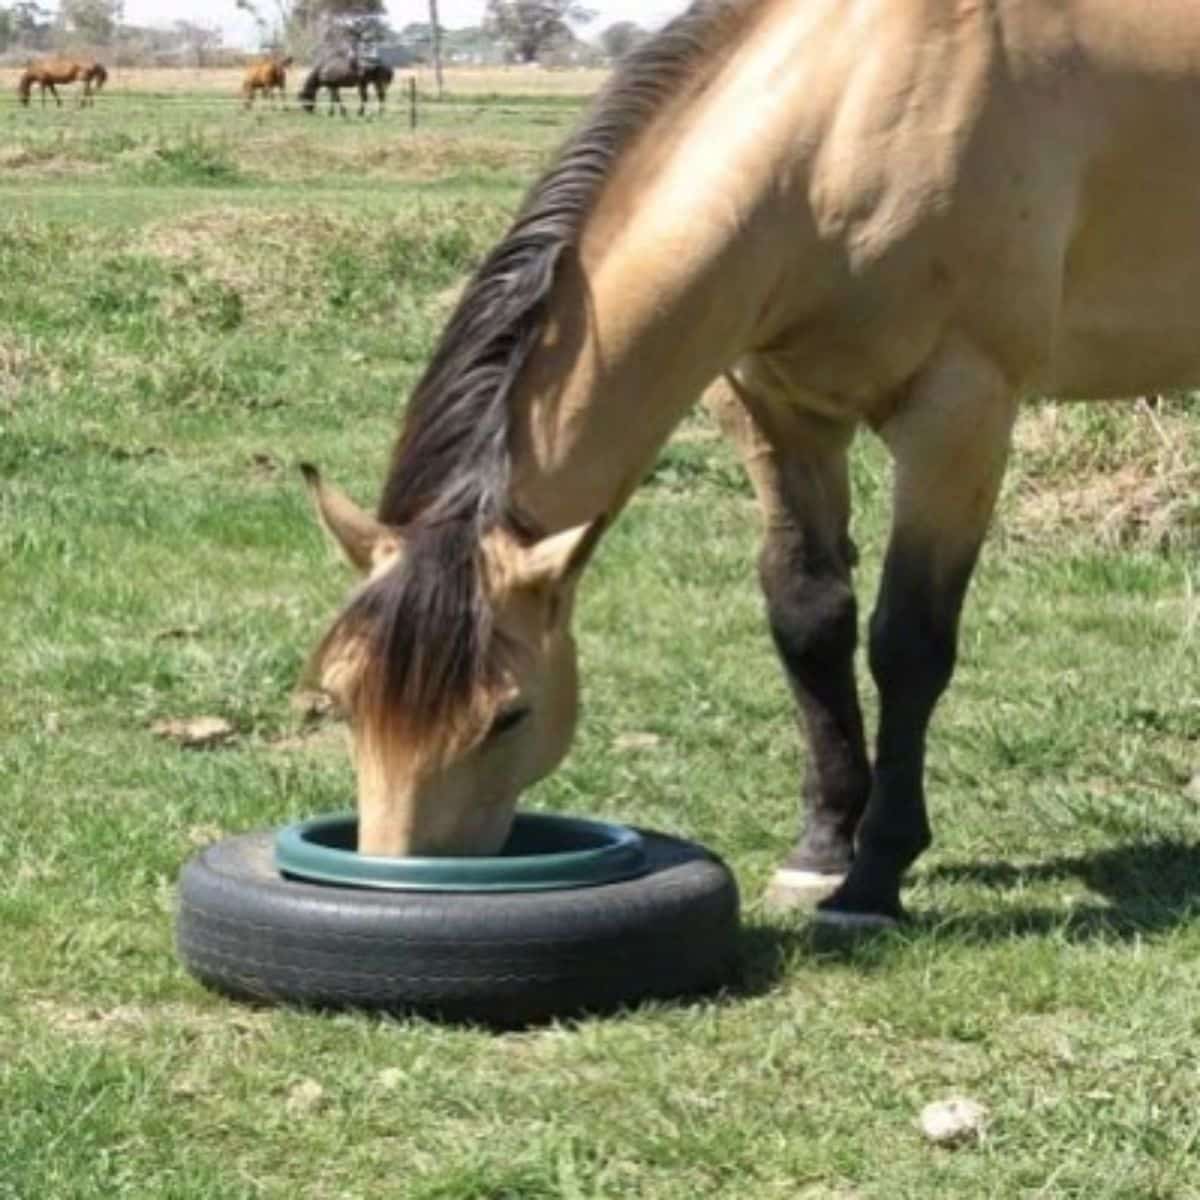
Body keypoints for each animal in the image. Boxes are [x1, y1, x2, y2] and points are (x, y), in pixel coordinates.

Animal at [297, 0, 1200, 926]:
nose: (401, 888)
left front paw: (875, 875)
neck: (846, 117)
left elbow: (908, 641)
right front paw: (822, 849)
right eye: (339, 697)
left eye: (508, 715)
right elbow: (809, 615)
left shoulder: (960, 410)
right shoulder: (775, 408)